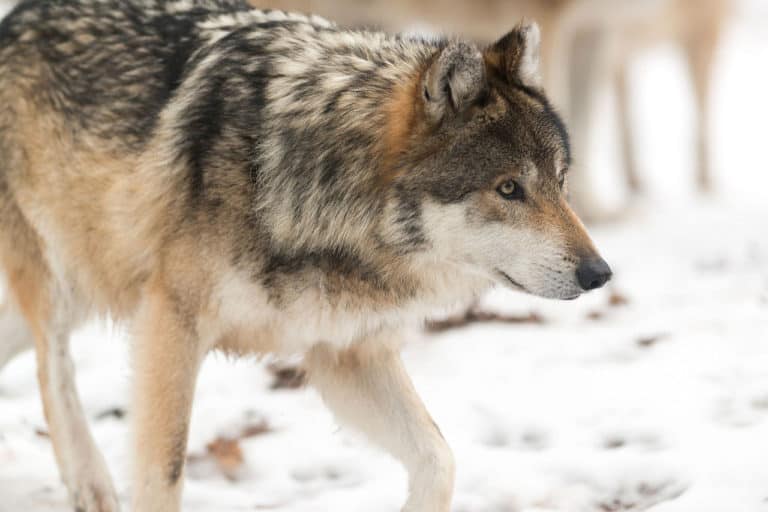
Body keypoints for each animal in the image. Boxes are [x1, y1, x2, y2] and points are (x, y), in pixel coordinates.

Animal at [0, 1, 611, 510]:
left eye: (560, 182)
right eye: (509, 189)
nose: (600, 274)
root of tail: (18, 16)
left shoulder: (344, 352)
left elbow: (439, 458)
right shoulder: (170, 324)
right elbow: (163, 471)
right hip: (59, 281)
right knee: (54, 371)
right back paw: (91, 482)